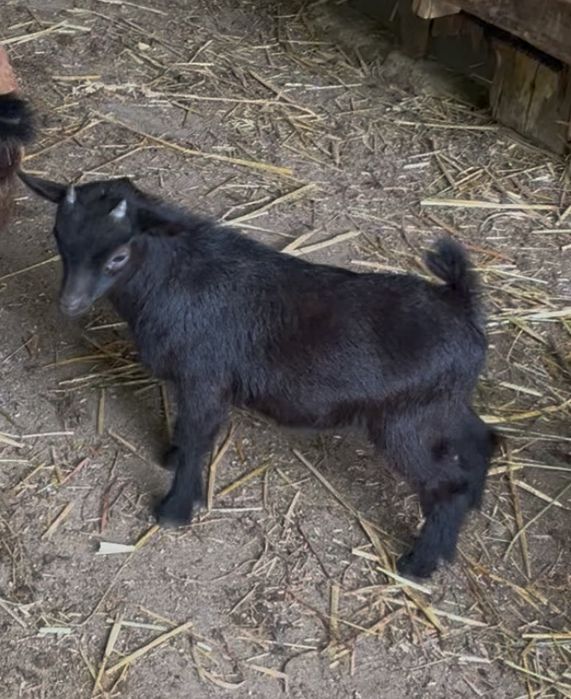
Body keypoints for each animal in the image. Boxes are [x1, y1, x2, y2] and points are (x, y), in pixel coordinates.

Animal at [19, 172, 498, 578]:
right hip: (440, 404)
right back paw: (471, 507)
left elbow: (198, 437)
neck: (173, 279)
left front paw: (174, 509)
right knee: (480, 437)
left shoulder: (206, 377)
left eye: (118, 255)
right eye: (59, 237)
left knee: (445, 484)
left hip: (404, 420)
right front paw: (171, 457)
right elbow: (188, 432)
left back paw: (420, 563)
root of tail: (461, 305)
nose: (70, 304)